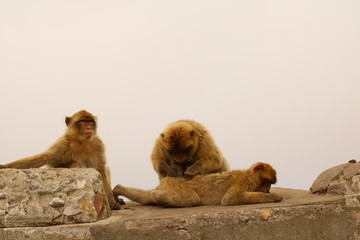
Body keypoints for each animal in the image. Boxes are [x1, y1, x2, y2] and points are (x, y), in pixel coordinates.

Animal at [112, 162, 282, 207]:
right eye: (267, 182)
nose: (267, 189)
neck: (250, 175)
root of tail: (169, 178)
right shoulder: (243, 180)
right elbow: (230, 198)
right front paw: (274, 196)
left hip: (168, 184)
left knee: (145, 197)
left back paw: (117, 189)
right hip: (176, 185)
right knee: (192, 199)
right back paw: (156, 197)